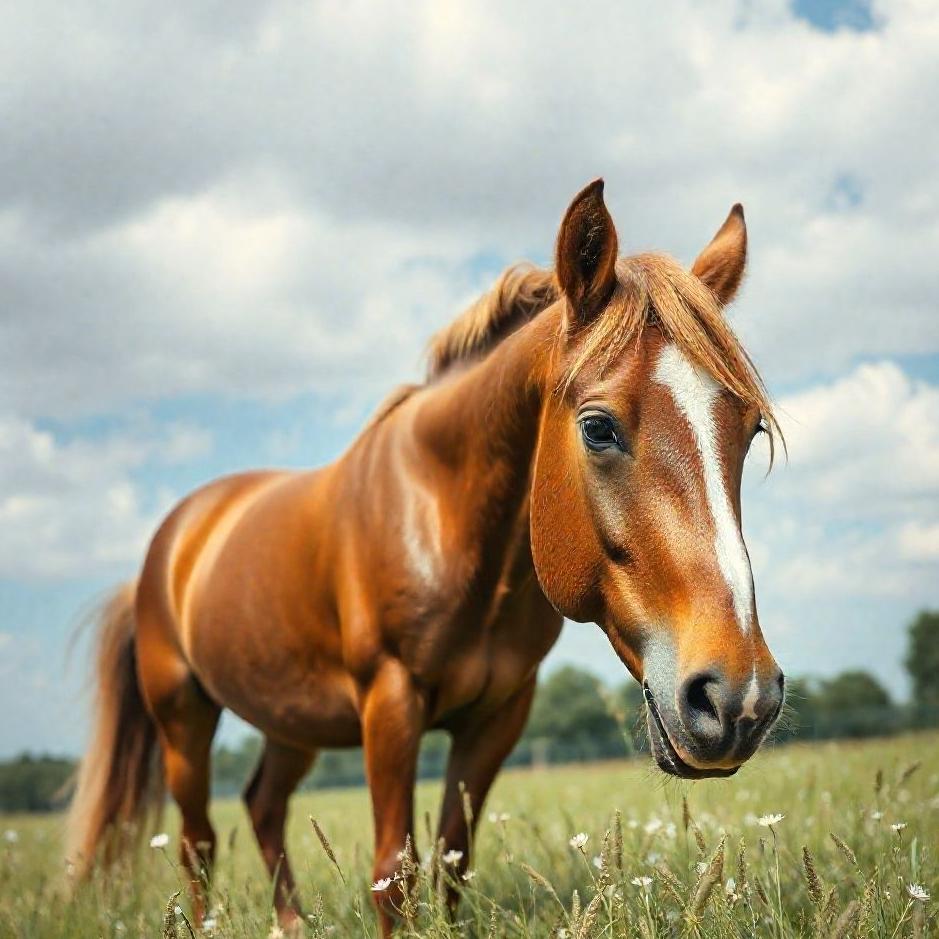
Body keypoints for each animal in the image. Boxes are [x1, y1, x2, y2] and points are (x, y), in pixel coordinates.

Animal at [67, 180, 784, 936]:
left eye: (750, 431)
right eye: (597, 426)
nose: (738, 698)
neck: (445, 517)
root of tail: (176, 536)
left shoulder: (497, 715)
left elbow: (451, 862)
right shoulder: (390, 701)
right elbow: (394, 874)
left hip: (289, 718)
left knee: (263, 805)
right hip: (184, 717)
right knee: (197, 840)